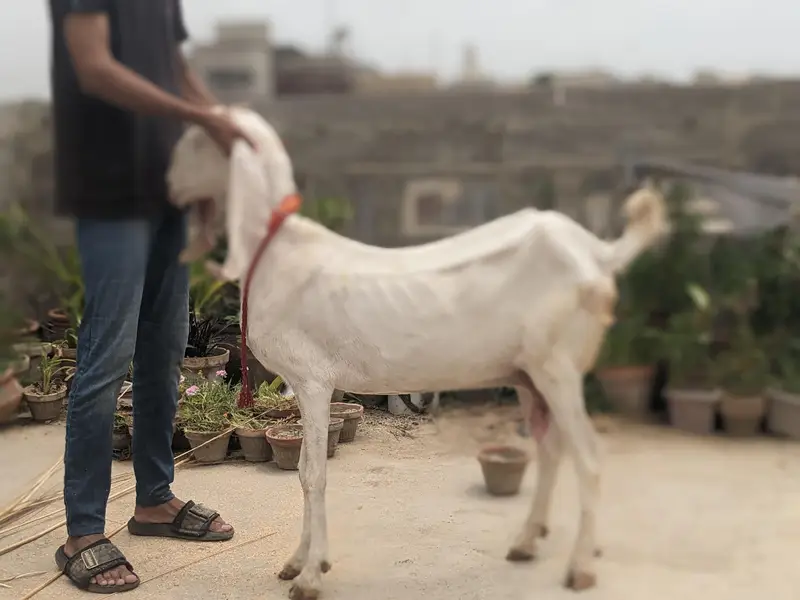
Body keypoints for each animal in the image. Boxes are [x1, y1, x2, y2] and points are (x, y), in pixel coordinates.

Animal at [167, 106, 669, 600]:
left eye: (199, 141)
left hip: (558, 367)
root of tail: (598, 252)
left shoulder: (313, 381)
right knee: (549, 449)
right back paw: (527, 541)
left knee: (589, 458)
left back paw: (579, 569)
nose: (170, 186)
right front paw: (298, 562)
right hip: (529, 374)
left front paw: (309, 577)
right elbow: (306, 472)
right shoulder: (303, 385)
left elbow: (314, 474)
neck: (275, 251)